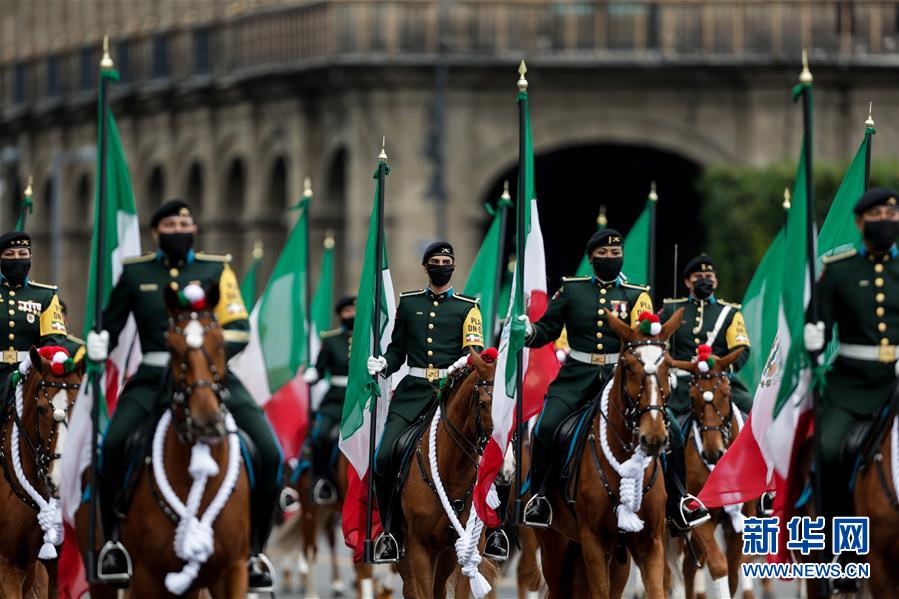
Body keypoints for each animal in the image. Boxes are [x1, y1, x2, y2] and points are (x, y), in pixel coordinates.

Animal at [78, 282, 251, 599]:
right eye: (171, 347)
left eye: (221, 342)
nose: (205, 421)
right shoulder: (147, 577)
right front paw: (97, 345)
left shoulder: (233, 571)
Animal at [536, 310, 684, 599]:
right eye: (628, 366)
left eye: (668, 366)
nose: (654, 437)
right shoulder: (593, 543)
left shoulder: (651, 543)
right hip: (555, 545)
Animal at [668, 346, 760, 599]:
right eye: (692, 397)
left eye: (726, 393)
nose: (712, 453)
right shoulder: (699, 518)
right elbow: (719, 566)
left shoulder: (741, 520)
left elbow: (734, 572)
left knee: (687, 568)